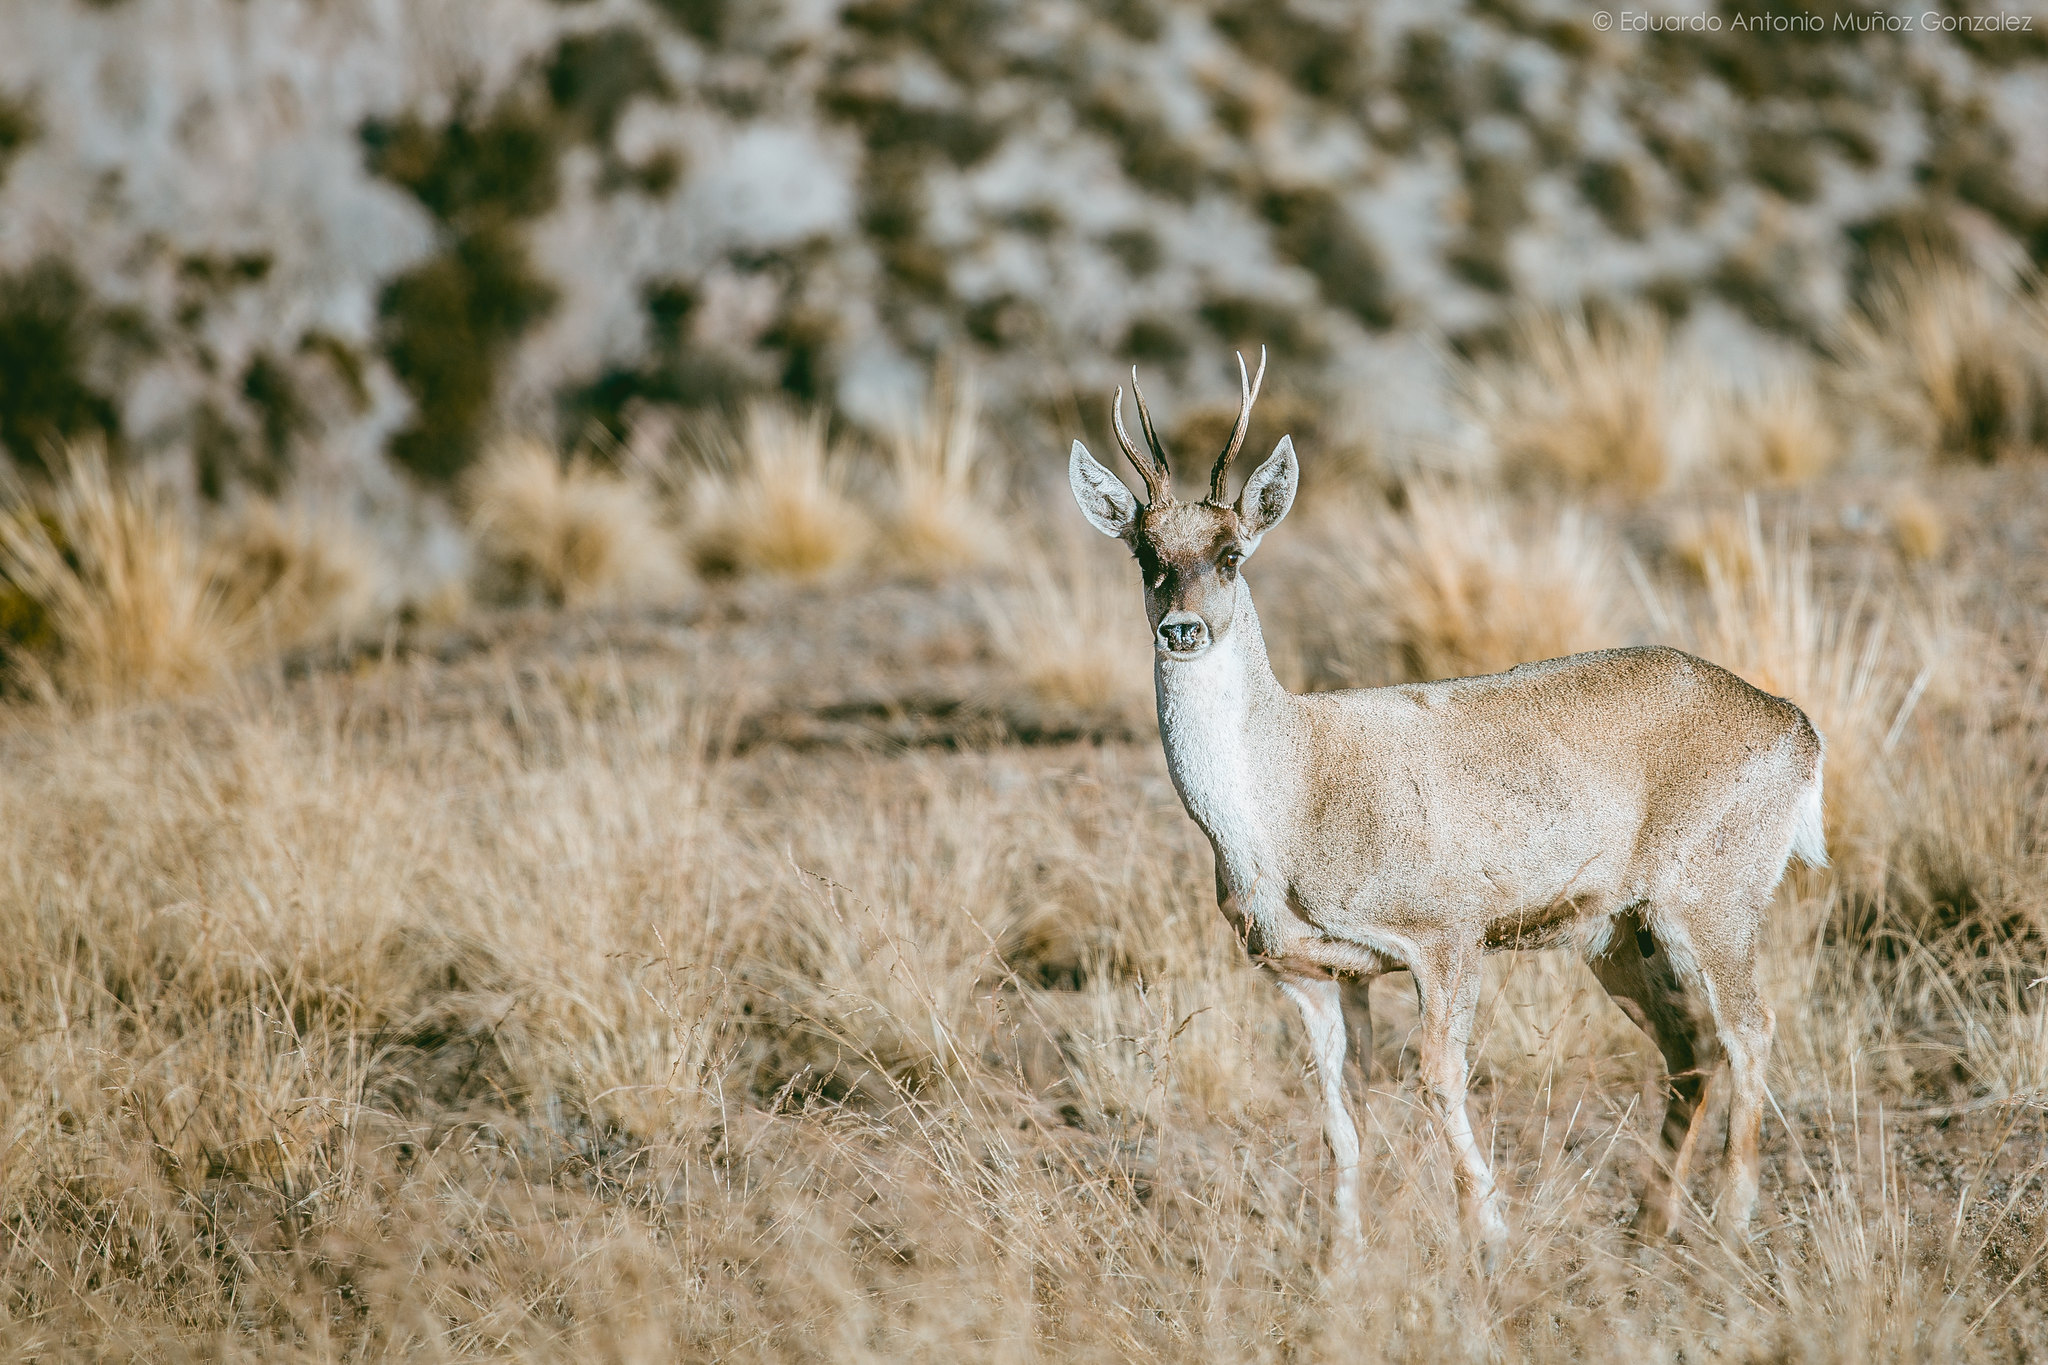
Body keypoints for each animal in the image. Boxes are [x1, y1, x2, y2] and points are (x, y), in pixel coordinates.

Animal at [1064, 349, 1835, 1260]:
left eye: (1231, 553)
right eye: (1145, 550)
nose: (1181, 629)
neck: (1290, 797)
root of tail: (1797, 727)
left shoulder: (1447, 934)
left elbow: (1438, 1081)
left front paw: (1489, 1234)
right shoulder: (1312, 971)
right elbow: (1340, 1114)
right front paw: (1343, 1262)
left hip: (1711, 903)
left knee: (1751, 1031)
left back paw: (1731, 1224)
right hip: (1619, 933)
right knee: (1692, 1052)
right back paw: (1651, 1226)